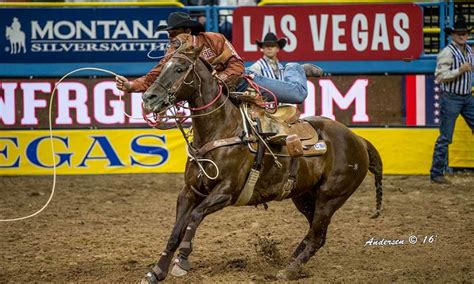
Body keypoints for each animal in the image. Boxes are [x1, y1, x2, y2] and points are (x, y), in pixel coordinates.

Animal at [140, 41, 382, 282]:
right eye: (161, 67)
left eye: (179, 69)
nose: (148, 98)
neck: (222, 129)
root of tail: (358, 140)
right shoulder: (189, 191)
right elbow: (175, 231)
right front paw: (156, 271)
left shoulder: (226, 191)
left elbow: (195, 216)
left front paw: (182, 259)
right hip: (304, 196)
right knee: (315, 233)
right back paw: (290, 261)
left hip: (330, 197)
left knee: (316, 236)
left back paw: (289, 270)